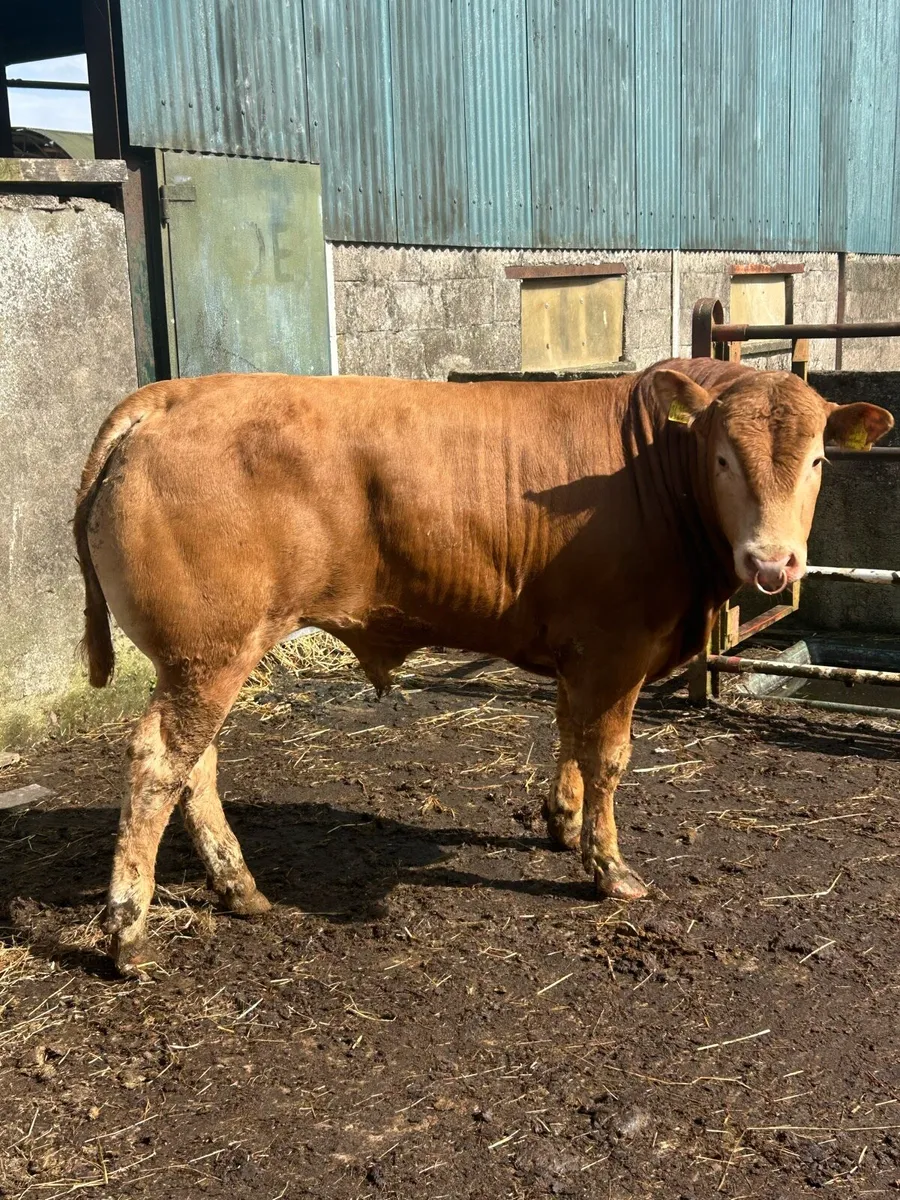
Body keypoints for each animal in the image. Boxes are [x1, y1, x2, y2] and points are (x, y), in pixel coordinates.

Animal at [74, 358, 893, 972]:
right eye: (723, 458)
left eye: (818, 458)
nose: (773, 563)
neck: (650, 474)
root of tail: (169, 394)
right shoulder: (619, 646)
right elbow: (607, 756)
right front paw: (609, 866)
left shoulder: (580, 649)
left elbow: (568, 732)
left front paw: (561, 823)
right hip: (209, 651)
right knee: (159, 761)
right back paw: (128, 931)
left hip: (205, 656)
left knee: (196, 765)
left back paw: (237, 885)